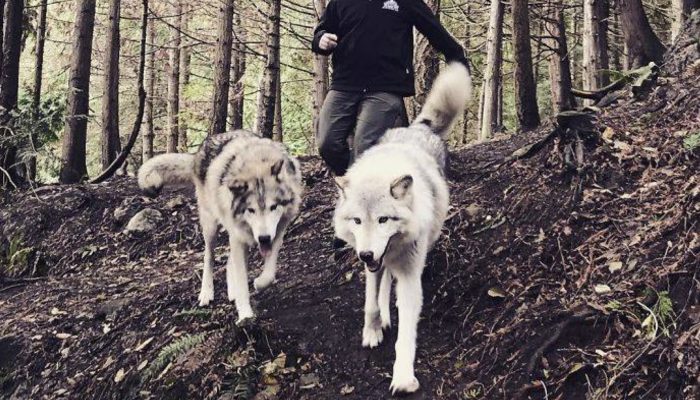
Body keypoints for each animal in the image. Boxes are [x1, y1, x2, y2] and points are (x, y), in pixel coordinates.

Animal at [138, 130, 302, 324]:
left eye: (273, 207)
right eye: (251, 210)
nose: (263, 238)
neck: (256, 161)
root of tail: (199, 151)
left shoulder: (277, 231)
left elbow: (269, 272)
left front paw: (258, 283)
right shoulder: (241, 237)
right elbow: (242, 281)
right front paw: (245, 315)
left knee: (230, 261)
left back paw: (232, 291)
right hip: (211, 228)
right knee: (209, 258)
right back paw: (206, 293)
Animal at [333, 63, 471, 394]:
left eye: (383, 220)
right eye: (357, 221)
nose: (366, 255)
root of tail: (418, 128)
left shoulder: (409, 274)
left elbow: (406, 331)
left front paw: (404, 378)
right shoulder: (371, 264)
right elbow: (370, 302)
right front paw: (372, 330)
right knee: (383, 280)